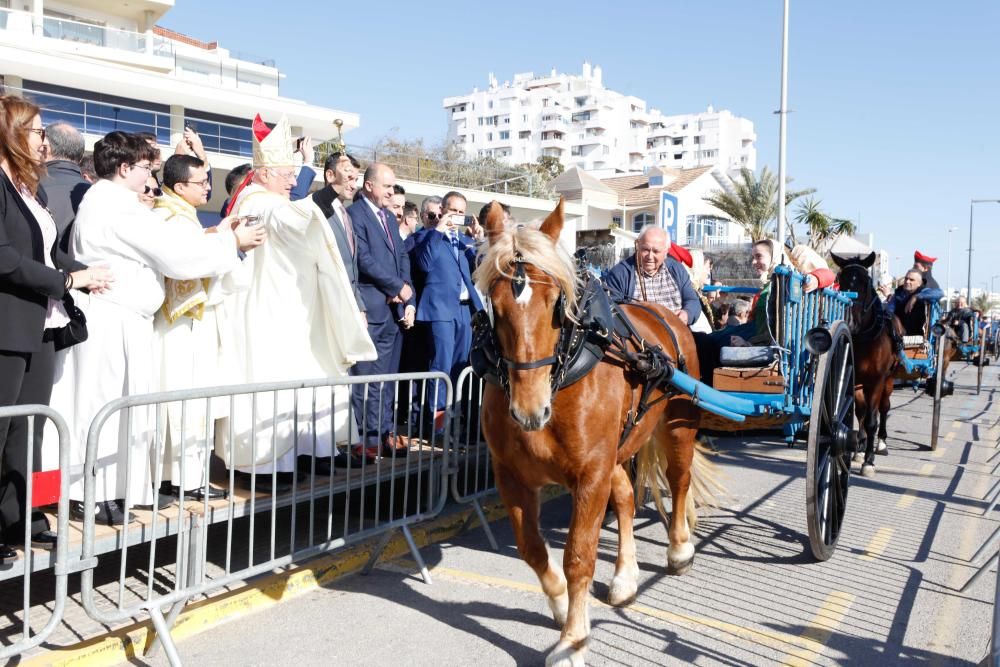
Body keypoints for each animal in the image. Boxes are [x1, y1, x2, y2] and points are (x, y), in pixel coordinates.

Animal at [474, 200, 716, 667]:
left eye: (556, 302)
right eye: (493, 303)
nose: (529, 410)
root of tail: (666, 316)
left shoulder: (589, 475)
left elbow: (578, 557)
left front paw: (572, 640)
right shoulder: (510, 475)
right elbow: (532, 549)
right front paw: (562, 605)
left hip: (678, 425)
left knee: (678, 481)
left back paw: (679, 549)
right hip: (618, 449)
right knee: (625, 496)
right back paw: (625, 576)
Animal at [828, 253, 900, 478]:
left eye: (866, 282)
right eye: (839, 279)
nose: (850, 322)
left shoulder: (876, 381)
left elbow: (871, 420)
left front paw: (869, 460)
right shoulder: (852, 378)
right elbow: (857, 413)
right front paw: (858, 449)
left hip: (889, 380)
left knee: (883, 408)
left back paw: (881, 442)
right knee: (863, 411)